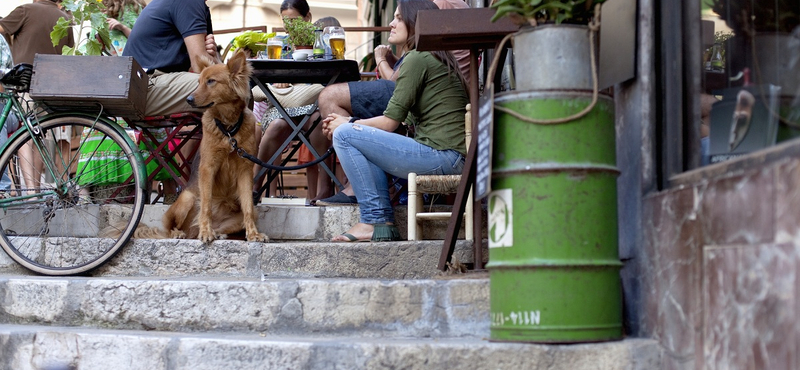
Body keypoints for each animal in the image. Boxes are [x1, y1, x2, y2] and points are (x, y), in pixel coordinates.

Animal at [155, 51, 268, 243]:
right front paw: (206, 232)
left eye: (211, 81)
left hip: (249, 212)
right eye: (198, 82)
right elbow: (206, 204)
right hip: (188, 198)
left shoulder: (245, 170)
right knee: (171, 227)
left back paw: (219, 233)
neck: (228, 129)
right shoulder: (208, 167)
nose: (188, 99)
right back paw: (182, 233)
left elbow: (247, 206)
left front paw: (253, 234)